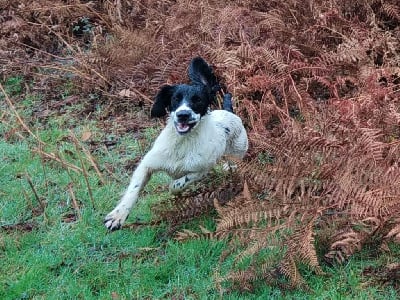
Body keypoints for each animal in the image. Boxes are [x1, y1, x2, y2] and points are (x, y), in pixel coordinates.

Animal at [104, 56, 247, 230]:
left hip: (238, 152)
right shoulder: (147, 165)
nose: (183, 114)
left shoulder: (201, 170)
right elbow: (134, 190)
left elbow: (179, 183)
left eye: (198, 100)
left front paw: (175, 186)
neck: (182, 143)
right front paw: (117, 216)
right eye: (175, 99)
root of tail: (228, 111)